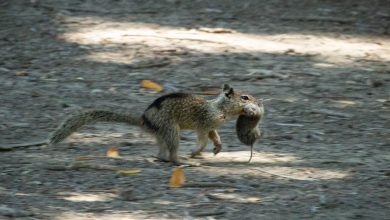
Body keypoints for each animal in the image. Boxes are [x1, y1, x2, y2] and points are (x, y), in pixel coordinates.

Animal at [4, 84, 260, 163]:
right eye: (245, 97)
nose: (258, 101)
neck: (219, 108)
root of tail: (144, 120)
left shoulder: (212, 126)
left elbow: (215, 136)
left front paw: (218, 147)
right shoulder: (204, 123)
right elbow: (203, 138)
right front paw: (198, 152)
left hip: (163, 133)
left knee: (161, 151)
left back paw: (161, 157)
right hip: (171, 130)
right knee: (171, 151)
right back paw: (181, 161)